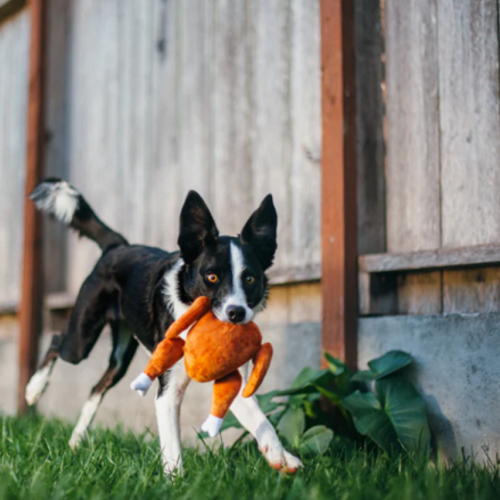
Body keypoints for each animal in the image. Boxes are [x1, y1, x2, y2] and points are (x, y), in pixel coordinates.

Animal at [25, 178, 302, 474]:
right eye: (212, 277)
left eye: (249, 279)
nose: (236, 313)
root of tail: (118, 246)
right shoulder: (168, 392)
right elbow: (172, 448)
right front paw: (175, 479)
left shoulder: (234, 384)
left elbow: (262, 421)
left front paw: (279, 455)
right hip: (81, 338)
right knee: (57, 342)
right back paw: (33, 390)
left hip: (121, 358)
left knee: (97, 387)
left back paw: (76, 439)